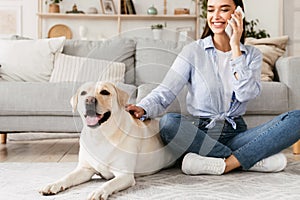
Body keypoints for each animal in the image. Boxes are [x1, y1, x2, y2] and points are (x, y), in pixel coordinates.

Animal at [39, 81, 176, 200]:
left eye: (105, 92)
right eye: (83, 93)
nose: (89, 100)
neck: (100, 136)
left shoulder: (125, 175)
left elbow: (109, 183)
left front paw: (98, 191)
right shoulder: (85, 169)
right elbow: (68, 176)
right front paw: (53, 184)